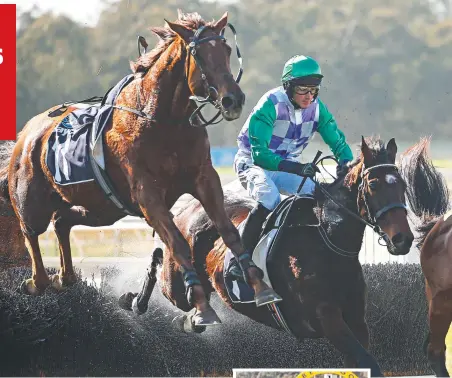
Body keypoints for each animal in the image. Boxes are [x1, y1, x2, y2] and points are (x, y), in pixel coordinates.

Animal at [2, 10, 278, 324]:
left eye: (226, 48)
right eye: (199, 54)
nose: (233, 99)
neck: (163, 120)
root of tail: (26, 134)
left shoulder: (203, 178)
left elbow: (229, 231)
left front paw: (260, 287)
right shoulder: (147, 195)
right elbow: (178, 243)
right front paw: (200, 305)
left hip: (104, 209)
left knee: (61, 221)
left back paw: (66, 277)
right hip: (31, 201)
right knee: (31, 232)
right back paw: (36, 282)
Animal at [119, 137, 414, 376]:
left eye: (401, 183)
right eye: (373, 184)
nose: (403, 239)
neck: (326, 242)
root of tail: (189, 207)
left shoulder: (356, 318)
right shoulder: (326, 317)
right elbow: (369, 362)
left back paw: (190, 317)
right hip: (177, 284)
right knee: (162, 265)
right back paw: (134, 301)